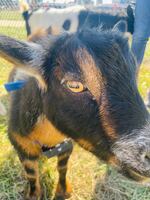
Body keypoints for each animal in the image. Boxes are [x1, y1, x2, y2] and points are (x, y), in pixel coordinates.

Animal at [0, 21, 149, 199]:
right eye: (74, 85)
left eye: (134, 75)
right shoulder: (22, 146)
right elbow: (31, 174)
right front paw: (33, 194)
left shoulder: (66, 145)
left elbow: (63, 167)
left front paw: (63, 191)